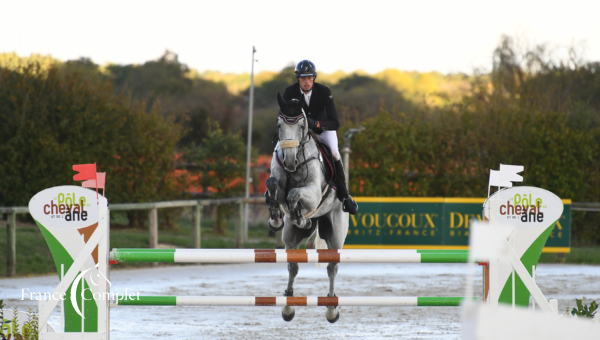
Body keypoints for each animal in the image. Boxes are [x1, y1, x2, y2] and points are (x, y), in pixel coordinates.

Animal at [268, 93, 352, 324]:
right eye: (279, 125)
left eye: (302, 125)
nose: (289, 161)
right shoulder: (278, 182)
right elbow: (273, 186)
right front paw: (275, 217)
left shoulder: (313, 194)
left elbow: (294, 194)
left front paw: (298, 214)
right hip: (291, 237)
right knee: (293, 266)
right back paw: (288, 307)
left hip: (335, 235)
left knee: (332, 268)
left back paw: (332, 309)